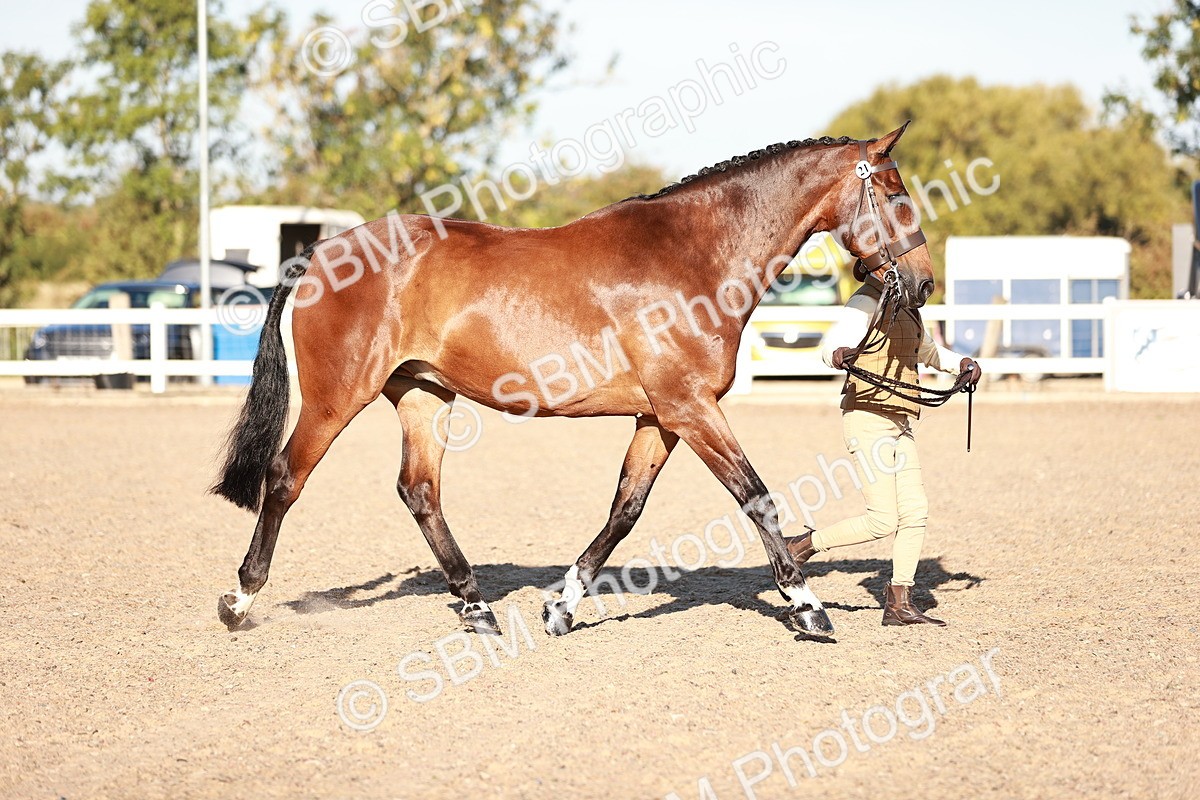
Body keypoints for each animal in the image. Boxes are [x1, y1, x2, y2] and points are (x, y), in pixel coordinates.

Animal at [211, 122, 933, 640]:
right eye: (896, 193)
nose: (924, 283)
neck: (693, 257)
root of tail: (320, 253)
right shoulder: (691, 408)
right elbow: (755, 496)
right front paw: (806, 605)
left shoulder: (660, 416)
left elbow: (625, 509)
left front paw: (562, 606)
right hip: (338, 397)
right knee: (285, 479)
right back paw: (240, 600)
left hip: (424, 394)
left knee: (420, 492)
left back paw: (477, 607)